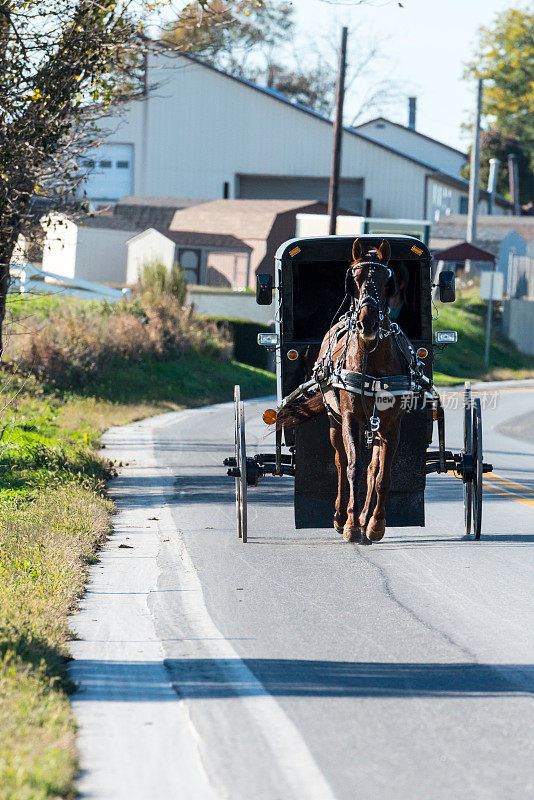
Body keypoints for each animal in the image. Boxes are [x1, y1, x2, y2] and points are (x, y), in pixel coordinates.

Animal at [278, 239, 416, 544]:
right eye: (355, 278)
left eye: (386, 280)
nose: (368, 323)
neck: (373, 364)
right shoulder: (351, 420)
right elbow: (353, 468)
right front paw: (351, 525)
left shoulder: (392, 424)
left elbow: (382, 475)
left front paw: (374, 524)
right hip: (334, 421)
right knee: (341, 463)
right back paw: (341, 516)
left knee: (373, 468)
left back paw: (365, 518)